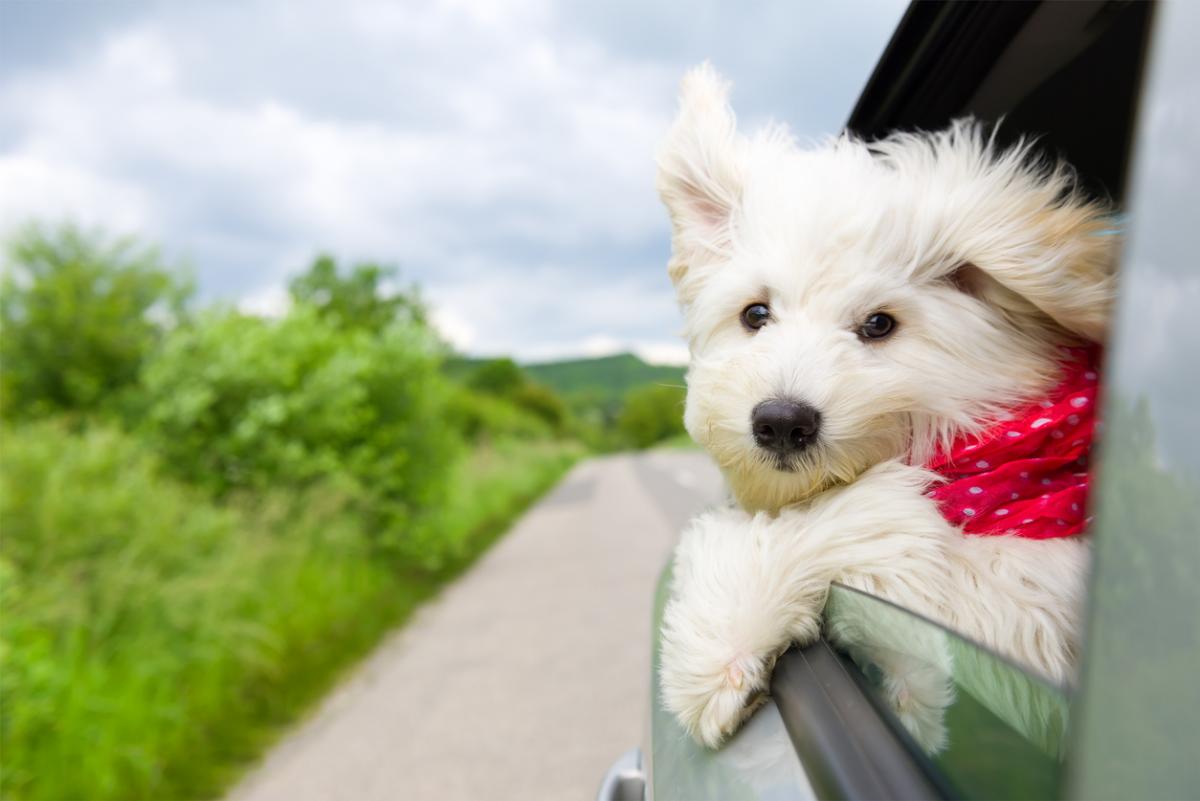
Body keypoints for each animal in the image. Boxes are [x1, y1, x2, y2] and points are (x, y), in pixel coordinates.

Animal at [657, 65, 1113, 748]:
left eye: (879, 324)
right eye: (755, 314)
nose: (780, 423)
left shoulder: (1032, 619)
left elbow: (876, 523)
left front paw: (716, 645)